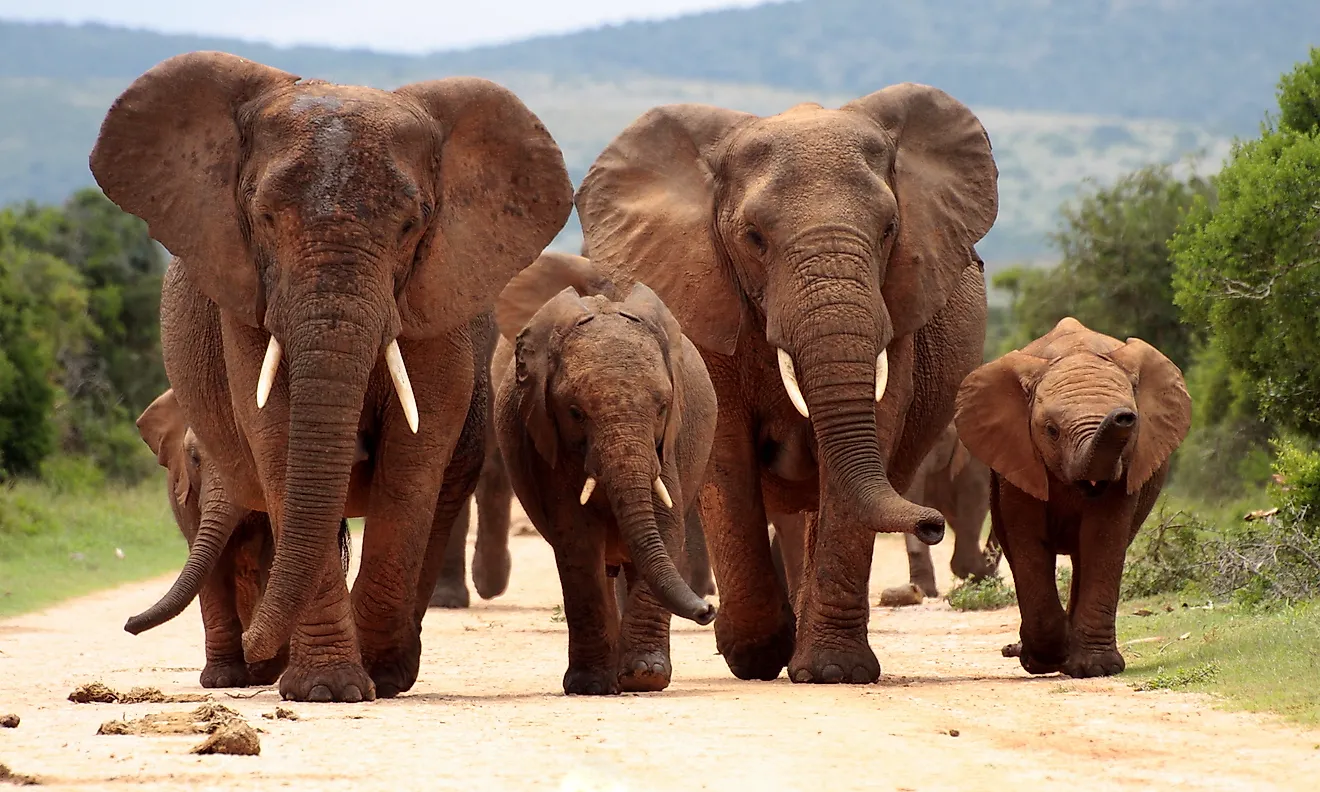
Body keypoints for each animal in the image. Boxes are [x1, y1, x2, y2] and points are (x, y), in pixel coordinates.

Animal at [90, 52, 567, 702]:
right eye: (264, 217)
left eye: (412, 226)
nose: (256, 648)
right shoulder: (248, 296)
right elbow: (276, 439)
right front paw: (328, 690)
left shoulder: (435, 298)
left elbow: (414, 456)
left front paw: (374, 678)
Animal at [496, 252, 723, 691]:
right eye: (575, 413)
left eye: (663, 408)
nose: (709, 610)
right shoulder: (546, 441)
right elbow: (577, 538)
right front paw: (591, 686)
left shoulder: (668, 446)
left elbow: (666, 525)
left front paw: (645, 677)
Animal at [578, 85, 997, 681]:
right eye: (754, 237)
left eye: (890, 230)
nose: (933, 523)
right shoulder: (703, 297)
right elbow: (725, 449)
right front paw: (755, 655)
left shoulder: (899, 311)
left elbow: (872, 430)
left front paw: (832, 672)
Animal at [955, 318, 1193, 675]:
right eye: (1051, 431)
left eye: (1133, 426)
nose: (1123, 416)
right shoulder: (1018, 455)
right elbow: (1027, 539)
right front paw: (1042, 660)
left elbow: (1102, 537)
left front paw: (1095, 669)